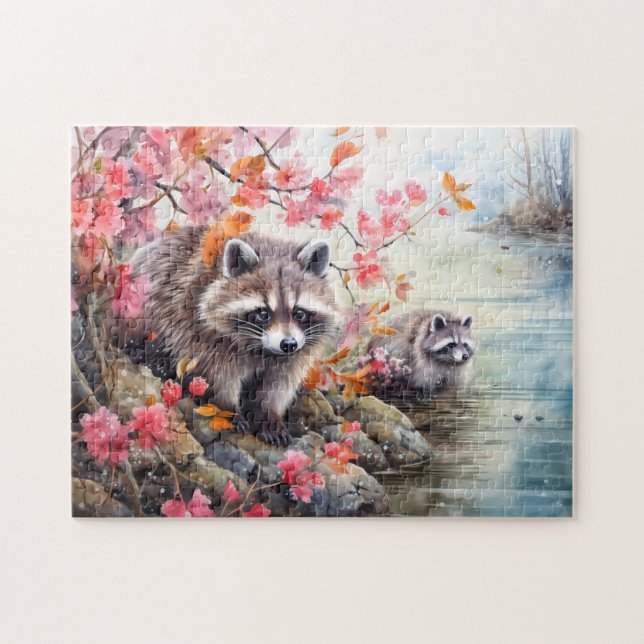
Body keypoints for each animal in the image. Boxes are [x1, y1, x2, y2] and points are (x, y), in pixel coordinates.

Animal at [120, 226, 340, 445]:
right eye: (263, 313)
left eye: (299, 313)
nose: (288, 344)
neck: (262, 349)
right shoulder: (200, 330)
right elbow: (218, 375)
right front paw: (226, 409)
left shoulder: (295, 354)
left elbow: (277, 385)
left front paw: (269, 415)